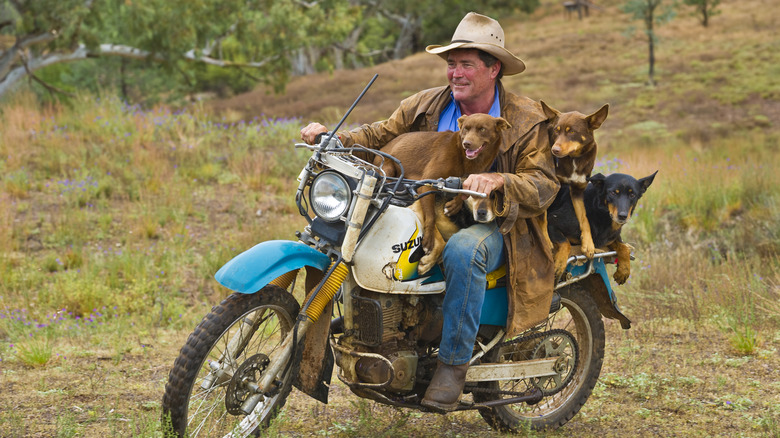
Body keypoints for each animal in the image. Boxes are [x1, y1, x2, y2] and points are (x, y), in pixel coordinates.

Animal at [376, 113, 512, 272]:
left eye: (482, 129)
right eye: (465, 129)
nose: (467, 143)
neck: (465, 158)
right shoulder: (426, 188)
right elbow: (432, 220)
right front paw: (428, 253)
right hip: (389, 168)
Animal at [544, 102, 608, 274]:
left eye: (572, 131)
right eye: (556, 130)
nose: (554, 150)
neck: (573, 159)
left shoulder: (578, 191)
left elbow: (584, 218)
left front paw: (588, 244)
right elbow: (542, 216)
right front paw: (545, 238)